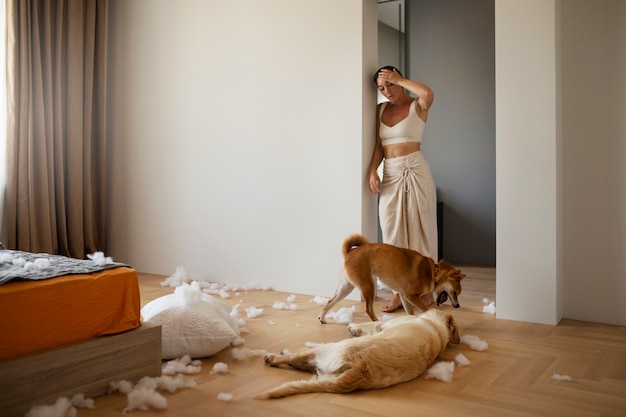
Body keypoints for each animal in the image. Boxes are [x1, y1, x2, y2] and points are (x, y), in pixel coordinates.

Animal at [254, 308, 458, 396]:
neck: (436, 328)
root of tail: (359, 370)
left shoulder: (385, 324)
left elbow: (373, 323)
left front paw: (353, 327)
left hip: (329, 348)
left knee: (298, 357)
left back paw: (275, 356)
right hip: (327, 371)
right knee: (303, 364)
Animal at [320, 232, 460, 324]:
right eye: (455, 293)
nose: (458, 306)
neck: (433, 272)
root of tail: (350, 253)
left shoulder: (404, 296)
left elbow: (410, 312)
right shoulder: (411, 295)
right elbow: (425, 309)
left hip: (346, 287)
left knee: (330, 301)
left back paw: (322, 318)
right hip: (368, 286)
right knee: (368, 309)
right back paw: (377, 322)